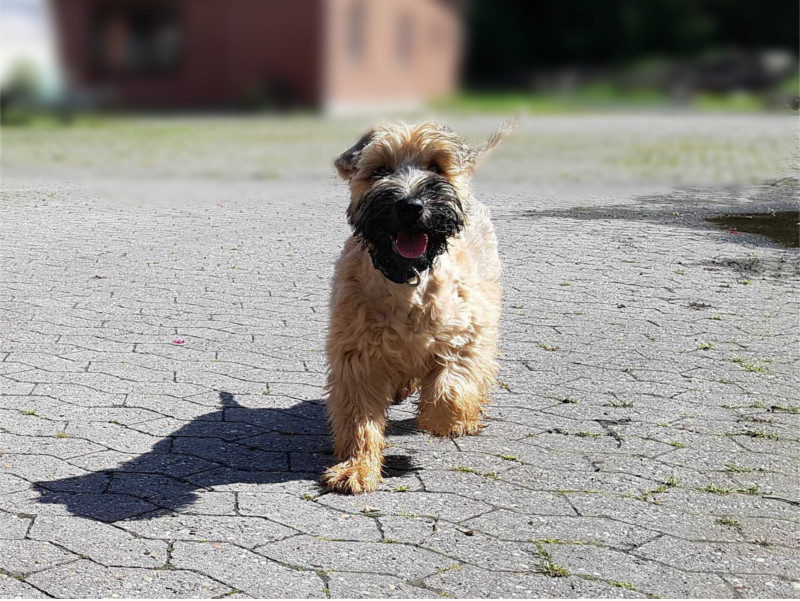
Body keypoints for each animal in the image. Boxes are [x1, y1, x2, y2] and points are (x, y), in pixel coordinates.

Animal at [322, 118, 516, 492]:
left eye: (436, 166)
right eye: (380, 170)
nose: (410, 205)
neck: (406, 282)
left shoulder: (469, 333)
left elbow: (449, 389)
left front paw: (443, 420)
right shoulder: (355, 354)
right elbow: (358, 418)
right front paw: (357, 467)